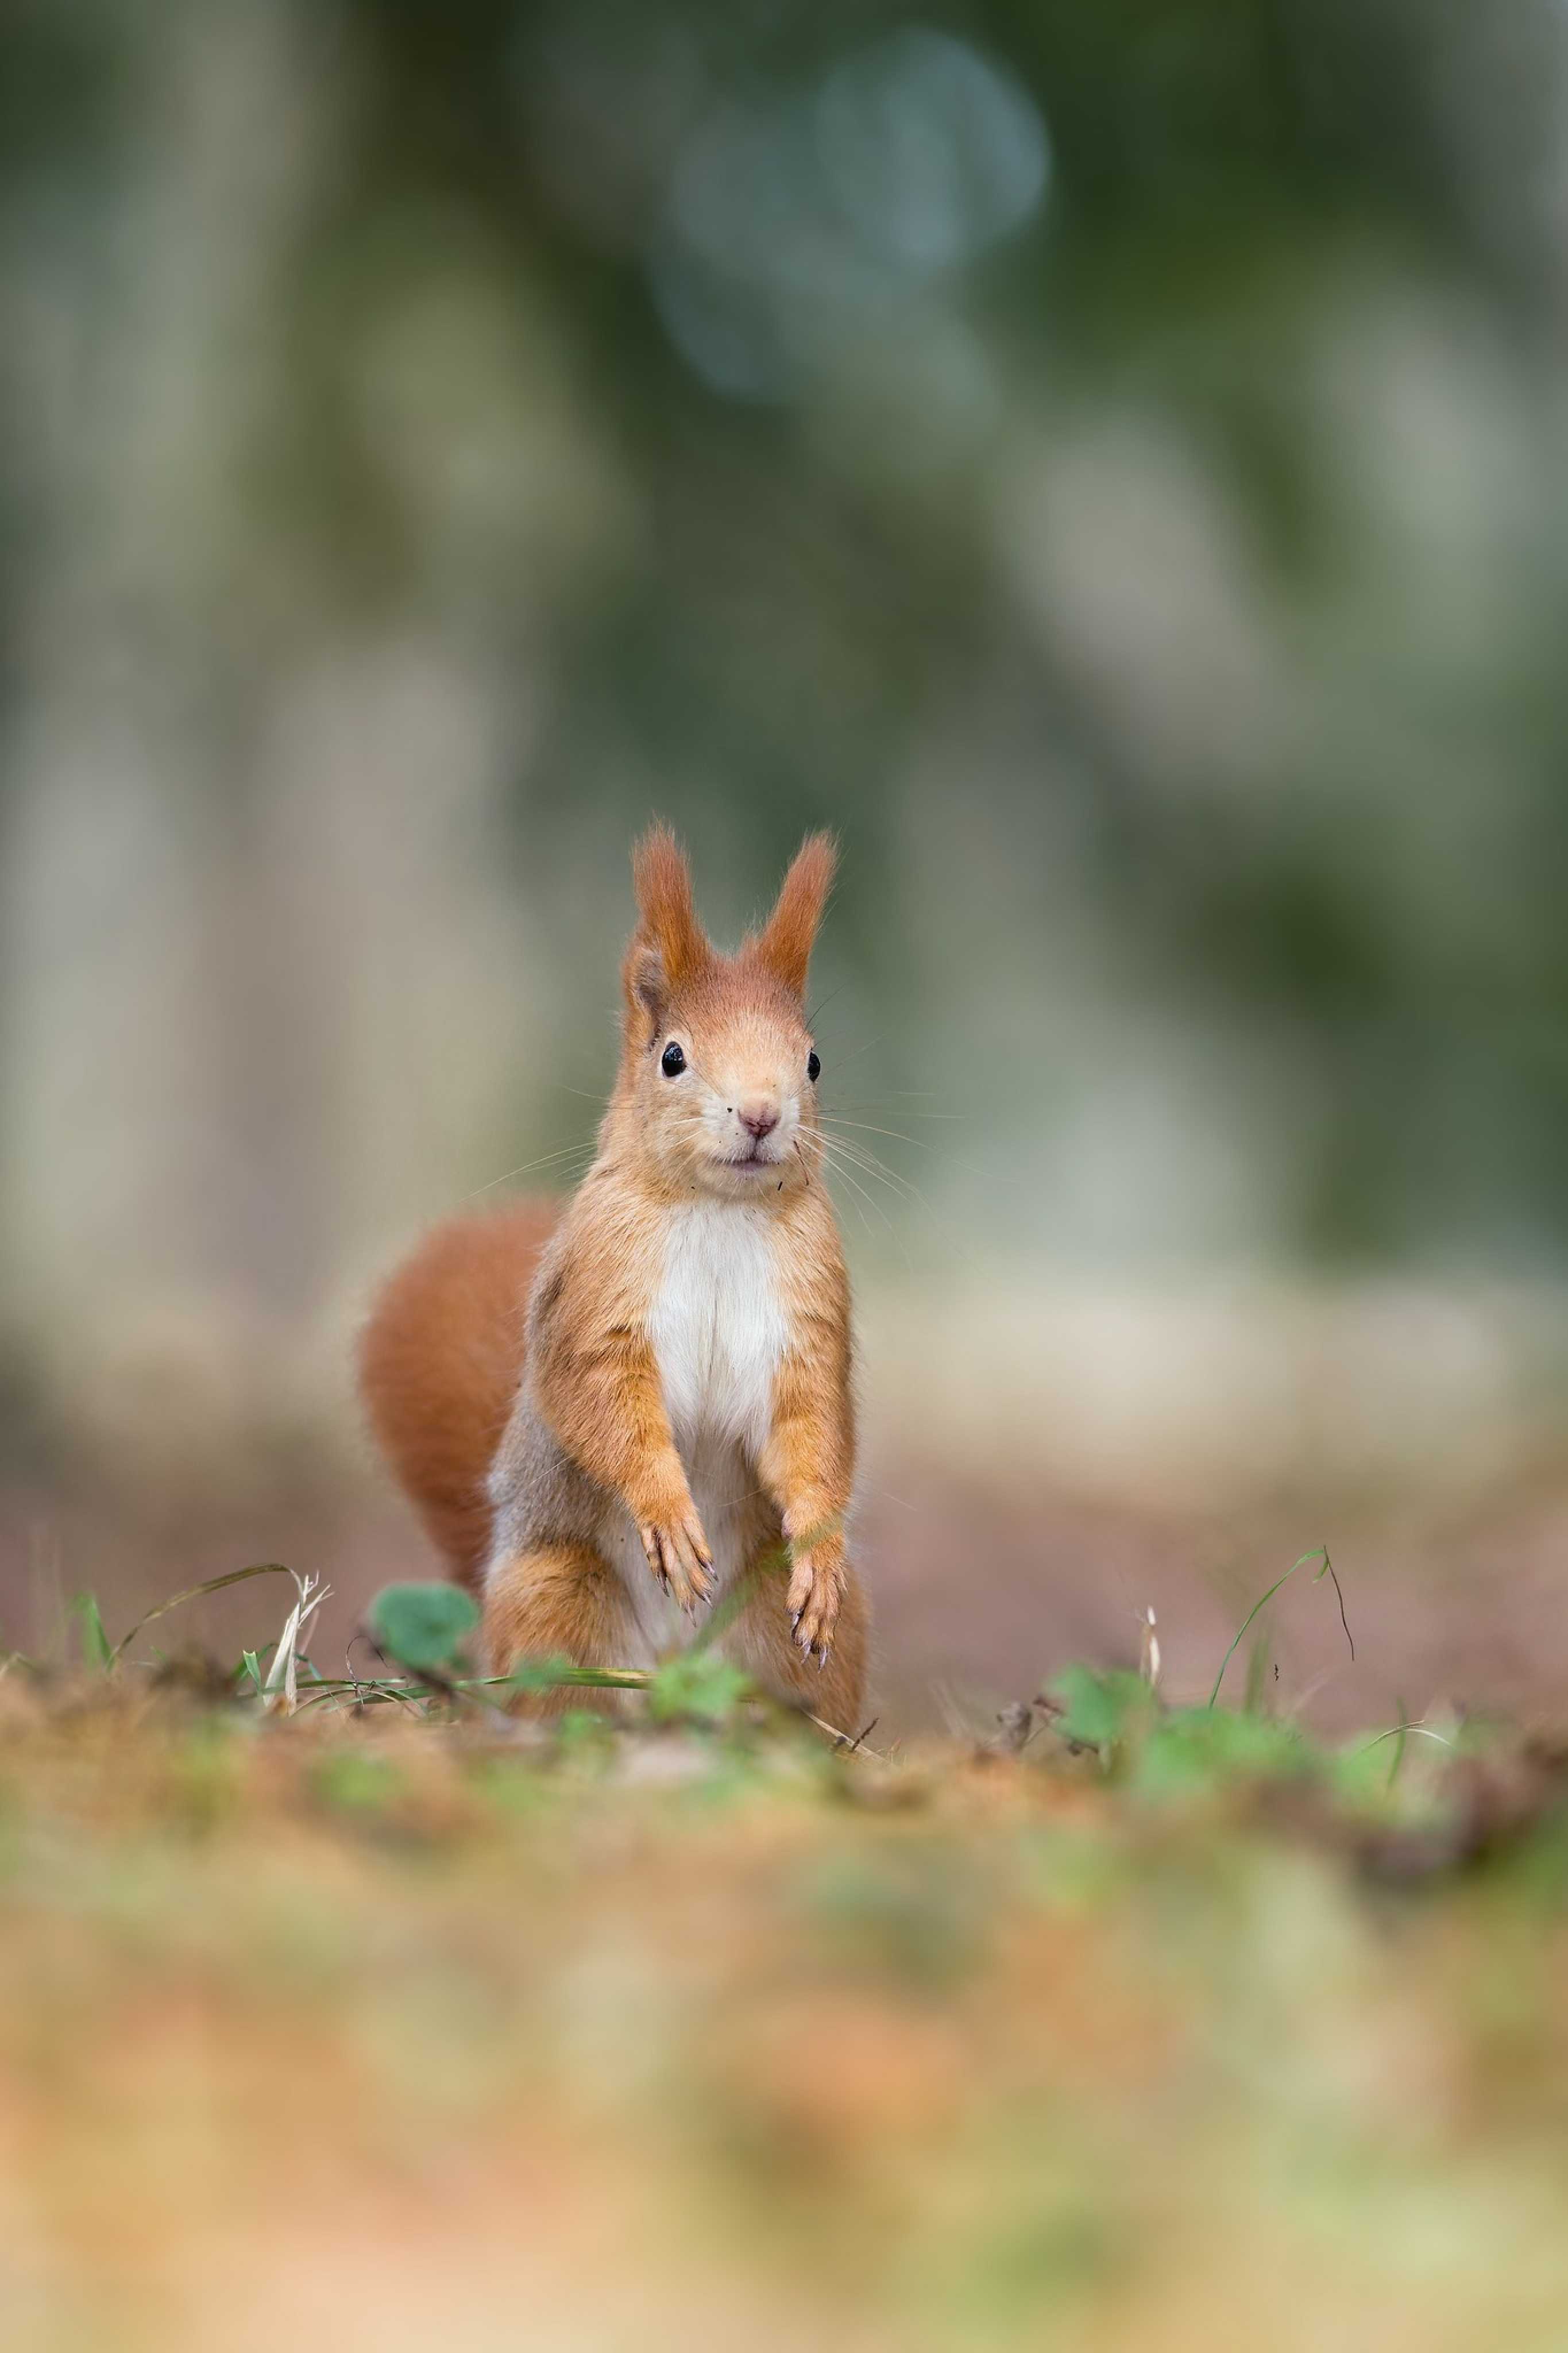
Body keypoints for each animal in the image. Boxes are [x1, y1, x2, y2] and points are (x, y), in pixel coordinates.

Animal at [360, 832, 870, 1731]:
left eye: (812, 1060)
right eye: (672, 1057)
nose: (761, 1114)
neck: (718, 1209)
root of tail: (672, 1676)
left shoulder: (809, 1317)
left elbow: (811, 1431)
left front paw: (819, 1552)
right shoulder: (596, 1294)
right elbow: (604, 1405)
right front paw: (665, 1510)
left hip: (780, 1626)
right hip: (553, 1595)